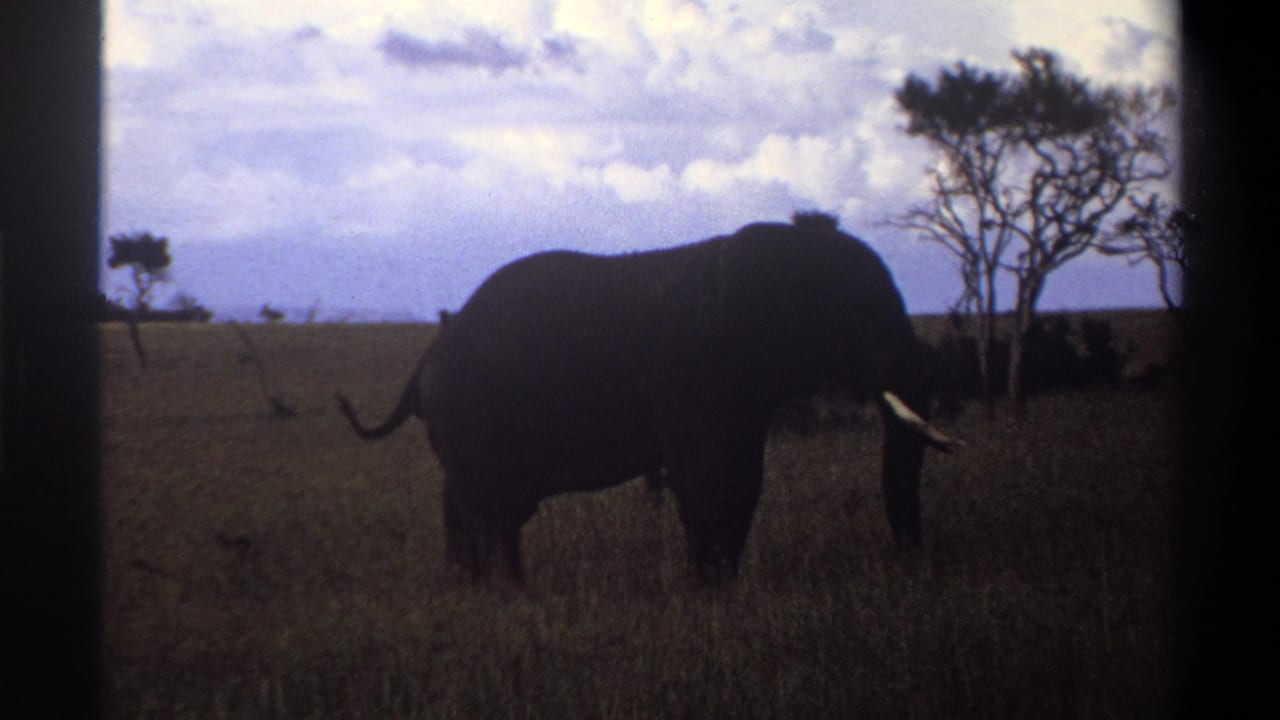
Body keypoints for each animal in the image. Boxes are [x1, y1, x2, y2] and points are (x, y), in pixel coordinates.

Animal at [337, 220, 962, 583]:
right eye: (859, 314)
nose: (913, 567)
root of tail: (427, 356)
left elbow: (742, 478)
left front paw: (723, 587)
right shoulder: (694, 371)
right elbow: (709, 476)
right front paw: (712, 591)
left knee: (482, 506)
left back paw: (480, 590)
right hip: (472, 415)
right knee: (489, 506)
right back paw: (502, 595)